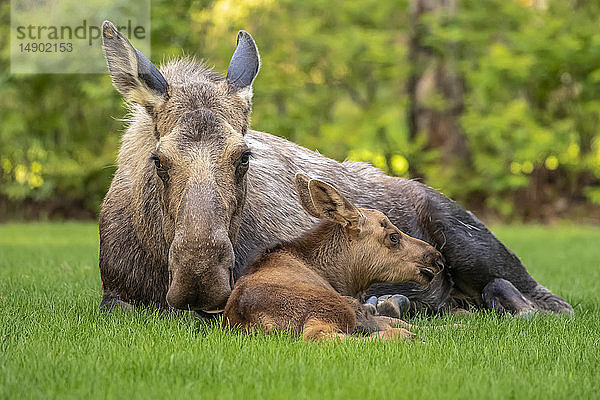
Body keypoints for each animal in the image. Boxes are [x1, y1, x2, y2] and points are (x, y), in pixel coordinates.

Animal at [97, 21, 572, 316]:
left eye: (244, 155)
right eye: (158, 160)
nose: (200, 274)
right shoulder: (113, 293)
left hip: (470, 240)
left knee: (548, 302)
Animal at [223, 173, 442, 340]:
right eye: (394, 237)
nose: (437, 257)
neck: (341, 278)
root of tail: (251, 317)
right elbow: (397, 320)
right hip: (336, 308)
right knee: (323, 337)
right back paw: (403, 336)